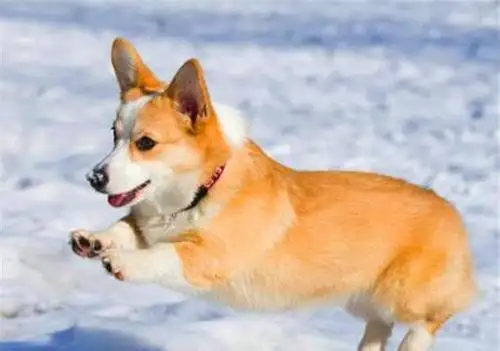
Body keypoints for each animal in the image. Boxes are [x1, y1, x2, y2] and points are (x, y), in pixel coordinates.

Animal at [70, 37, 476, 350]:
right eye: (113, 135)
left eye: (146, 143)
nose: (94, 177)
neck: (200, 190)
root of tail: (451, 210)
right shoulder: (146, 224)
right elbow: (125, 228)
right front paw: (92, 240)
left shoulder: (209, 256)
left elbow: (163, 255)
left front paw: (123, 263)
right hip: (365, 301)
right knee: (379, 327)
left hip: (404, 295)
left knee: (431, 318)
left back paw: (417, 340)